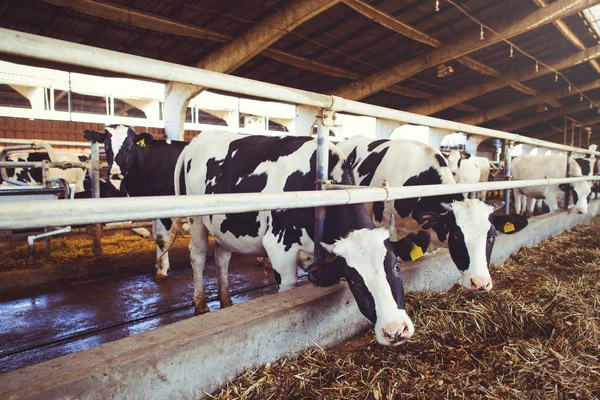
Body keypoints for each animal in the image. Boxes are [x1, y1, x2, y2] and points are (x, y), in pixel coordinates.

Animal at [83, 124, 188, 278]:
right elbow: (156, 236)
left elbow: (162, 238)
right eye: (106, 145)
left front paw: (163, 269)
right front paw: (157, 265)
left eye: (130, 145)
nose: (115, 173)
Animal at [176, 131, 414, 344]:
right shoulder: (279, 250)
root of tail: (196, 139)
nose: (394, 330)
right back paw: (200, 304)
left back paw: (225, 300)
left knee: (222, 256)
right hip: (195, 218)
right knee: (198, 255)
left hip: (224, 227)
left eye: (396, 266)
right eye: (354, 278)